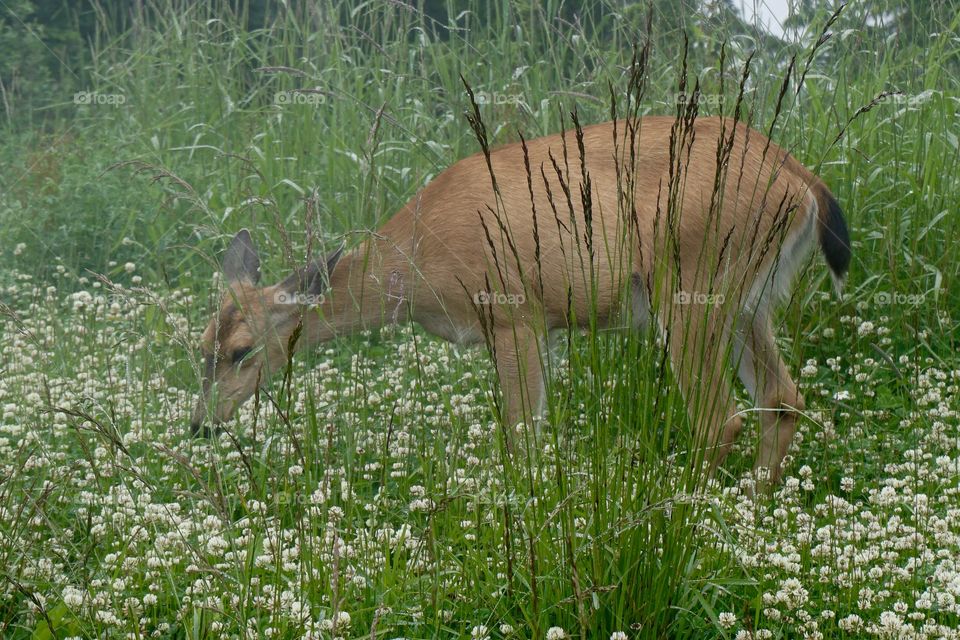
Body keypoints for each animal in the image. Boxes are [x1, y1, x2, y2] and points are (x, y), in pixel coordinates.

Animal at [190, 115, 850, 486]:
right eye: (199, 347)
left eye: (243, 350)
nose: (201, 426)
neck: (419, 260)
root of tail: (803, 181)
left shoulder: (515, 314)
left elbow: (521, 438)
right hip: (749, 301)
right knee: (782, 398)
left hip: (691, 288)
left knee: (722, 418)